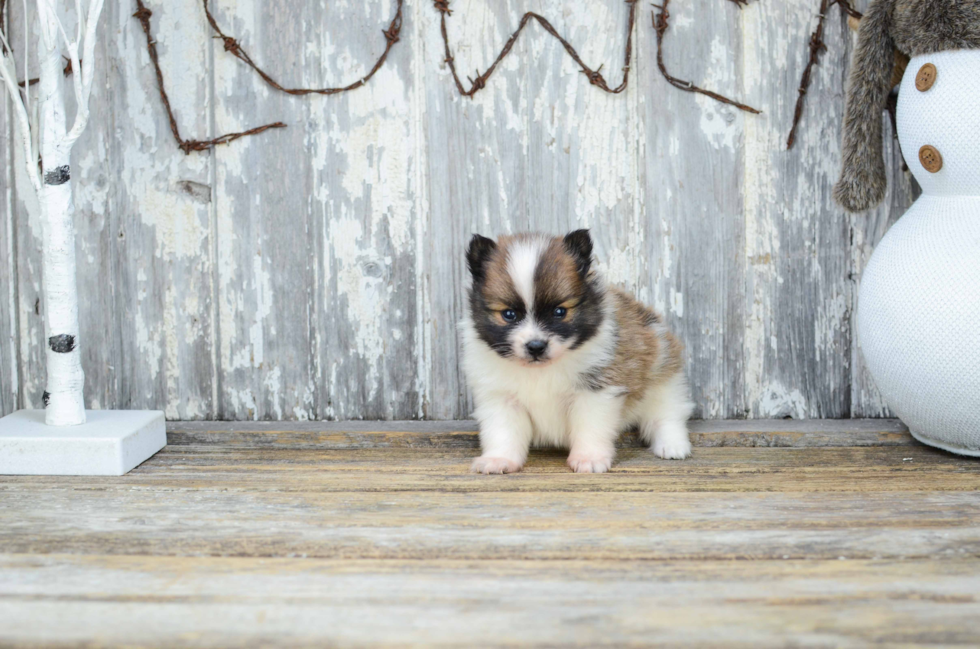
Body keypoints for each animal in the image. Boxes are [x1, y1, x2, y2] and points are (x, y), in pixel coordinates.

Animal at [464, 230, 692, 474]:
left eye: (559, 312)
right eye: (508, 314)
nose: (536, 346)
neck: (541, 370)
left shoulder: (595, 391)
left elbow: (590, 427)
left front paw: (588, 458)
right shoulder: (501, 398)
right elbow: (503, 432)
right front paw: (499, 459)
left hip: (664, 380)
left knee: (666, 415)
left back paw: (672, 445)